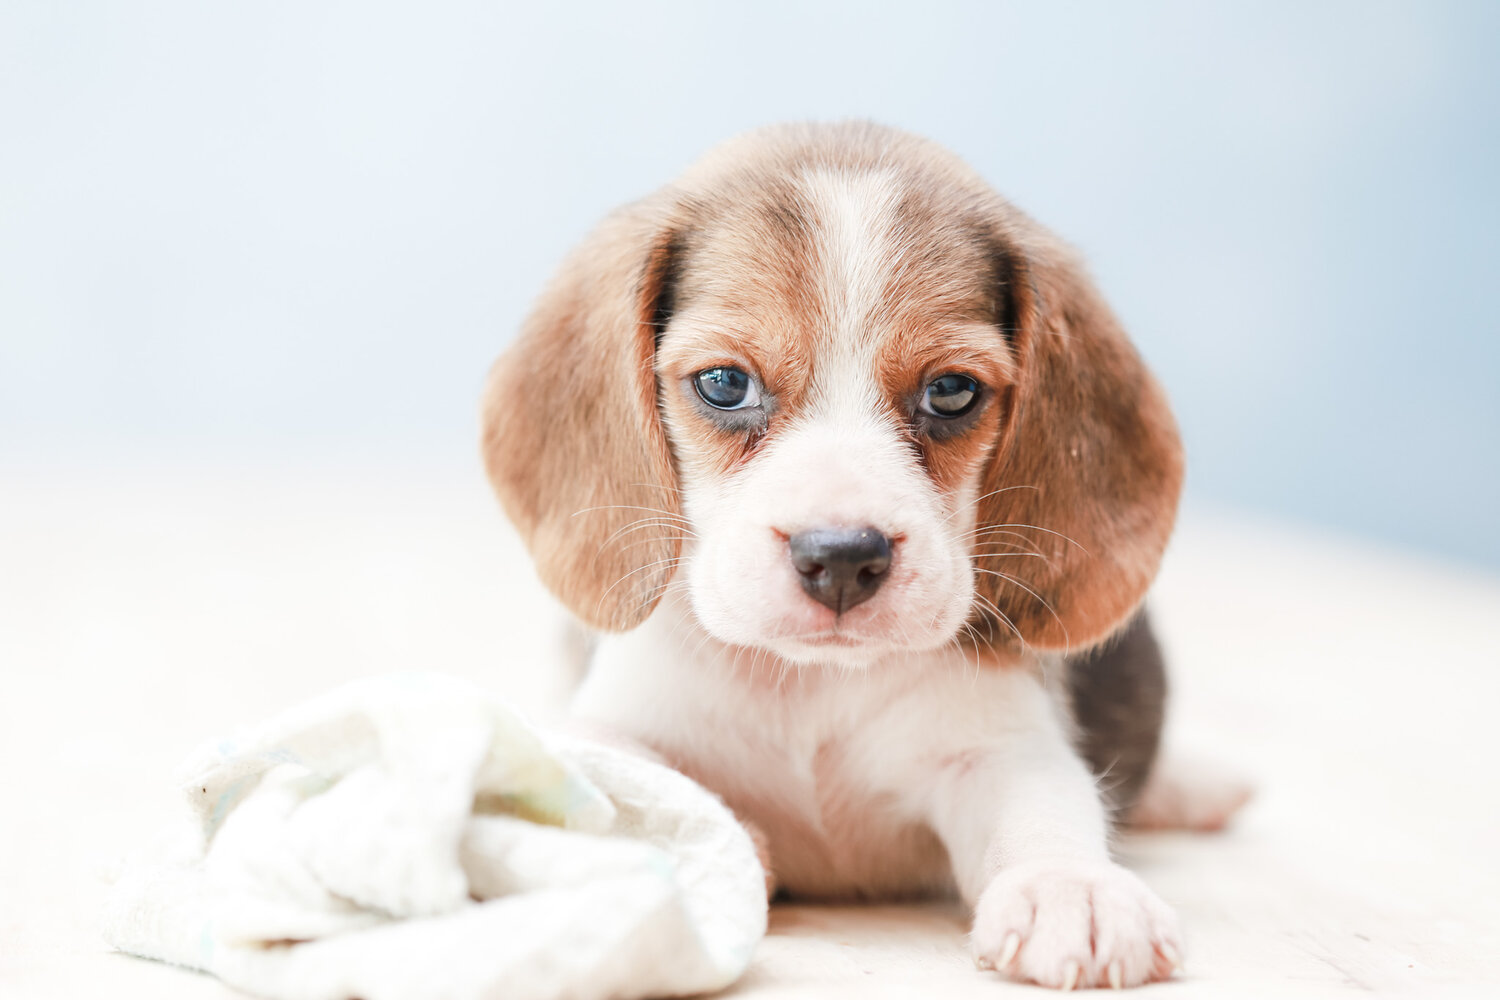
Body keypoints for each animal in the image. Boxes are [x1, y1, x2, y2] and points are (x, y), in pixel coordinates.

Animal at [486, 121, 1224, 989]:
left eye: (951, 392)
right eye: (724, 383)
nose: (840, 557)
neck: (811, 685)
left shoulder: (999, 748)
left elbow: (1044, 808)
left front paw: (1071, 888)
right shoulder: (612, 722)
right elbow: (631, 778)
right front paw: (723, 836)